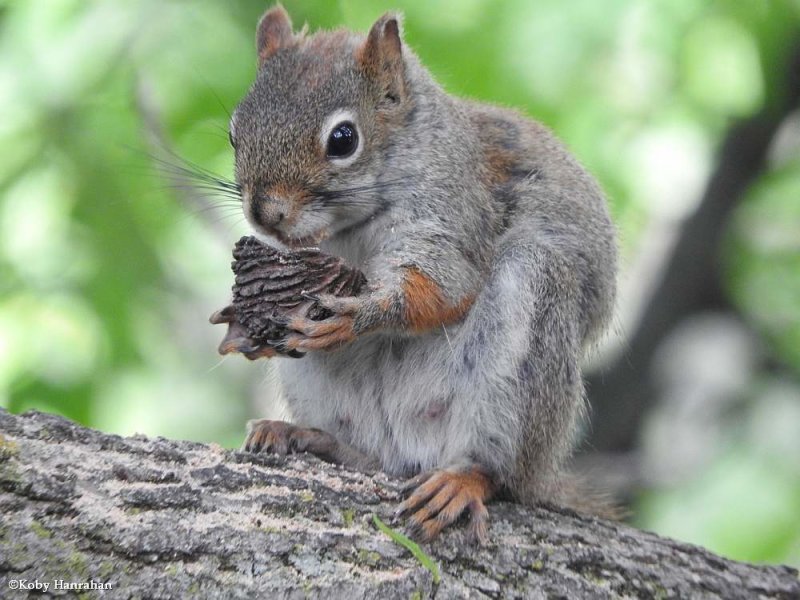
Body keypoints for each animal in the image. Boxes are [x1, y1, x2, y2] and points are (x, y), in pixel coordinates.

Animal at [223, 2, 620, 540]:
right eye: (234, 133)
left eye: (343, 139)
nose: (265, 213)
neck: (352, 227)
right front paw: (237, 325)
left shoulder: (452, 213)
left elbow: (441, 289)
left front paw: (356, 316)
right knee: (369, 457)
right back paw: (305, 435)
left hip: (525, 349)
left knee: (499, 470)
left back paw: (463, 480)